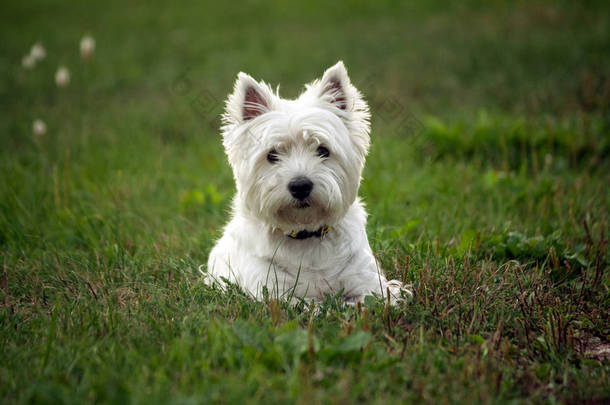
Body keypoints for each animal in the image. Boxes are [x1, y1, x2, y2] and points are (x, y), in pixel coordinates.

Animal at [207, 61, 410, 304]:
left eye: (323, 150)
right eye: (272, 155)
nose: (300, 186)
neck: (305, 236)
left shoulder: (369, 282)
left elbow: (375, 300)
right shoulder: (274, 291)